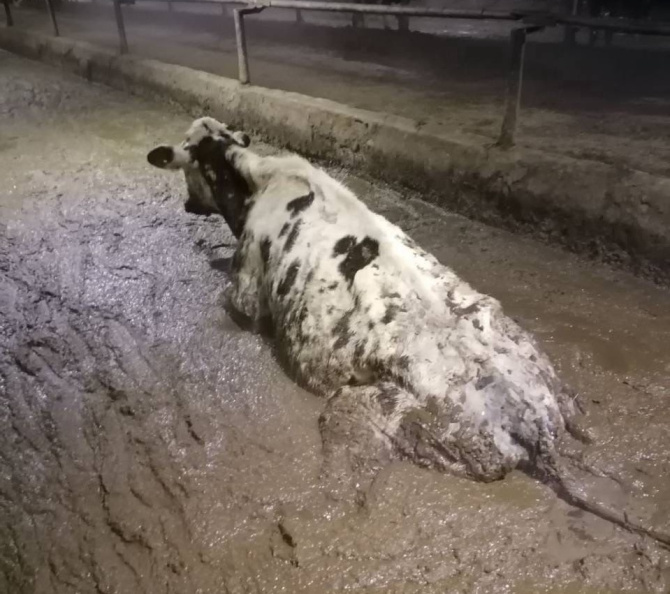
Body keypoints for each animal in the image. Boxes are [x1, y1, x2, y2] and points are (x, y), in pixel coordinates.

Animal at [147, 117, 670, 546]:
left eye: (184, 163)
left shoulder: (246, 289)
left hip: (368, 409)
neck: (257, 179)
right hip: (552, 383)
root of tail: (530, 417)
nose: (188, 205)